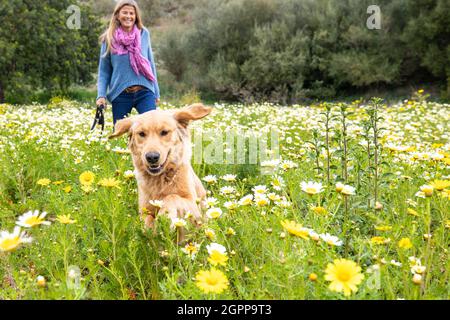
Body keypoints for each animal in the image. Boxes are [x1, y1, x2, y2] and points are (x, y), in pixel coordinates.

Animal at [110, 104, 213, 234]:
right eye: (141, 134)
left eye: (164, 132)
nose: (152, 157)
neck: (160, 179)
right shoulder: (144, 210)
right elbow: (147, 220)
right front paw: (152, 229)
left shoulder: (194, 206)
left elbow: (172, 197)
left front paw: (165, 216)